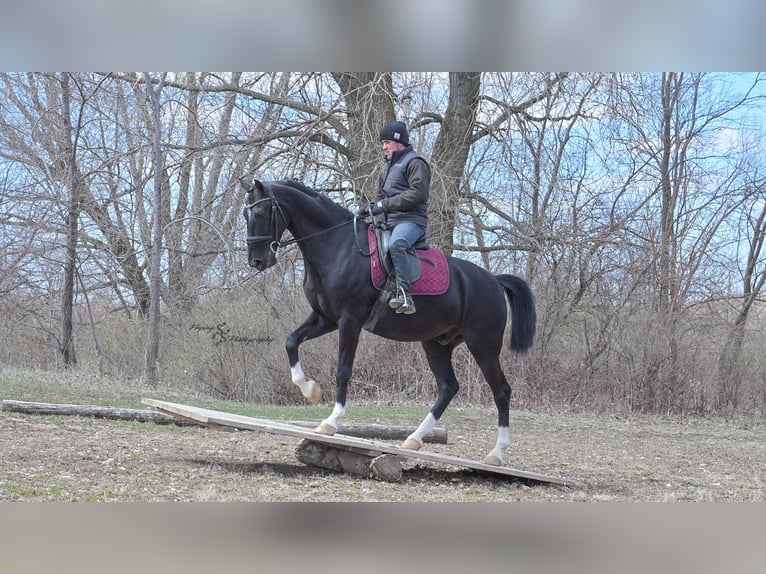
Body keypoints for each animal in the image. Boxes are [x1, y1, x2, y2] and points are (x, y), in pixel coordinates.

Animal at [242, 178, 536, 466]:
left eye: (260, 213)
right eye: (246, 214)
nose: (257, 261)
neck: (336, 246)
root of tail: (493, 280)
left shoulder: (349, 320)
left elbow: (343, 370)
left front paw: (331, 421)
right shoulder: (325, 319)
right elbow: (291, 342)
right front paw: (310, 391)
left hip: (483, 345)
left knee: (501, 391)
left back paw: (496, 453)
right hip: (437, 344)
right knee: (448, 387)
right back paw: (414, 439)